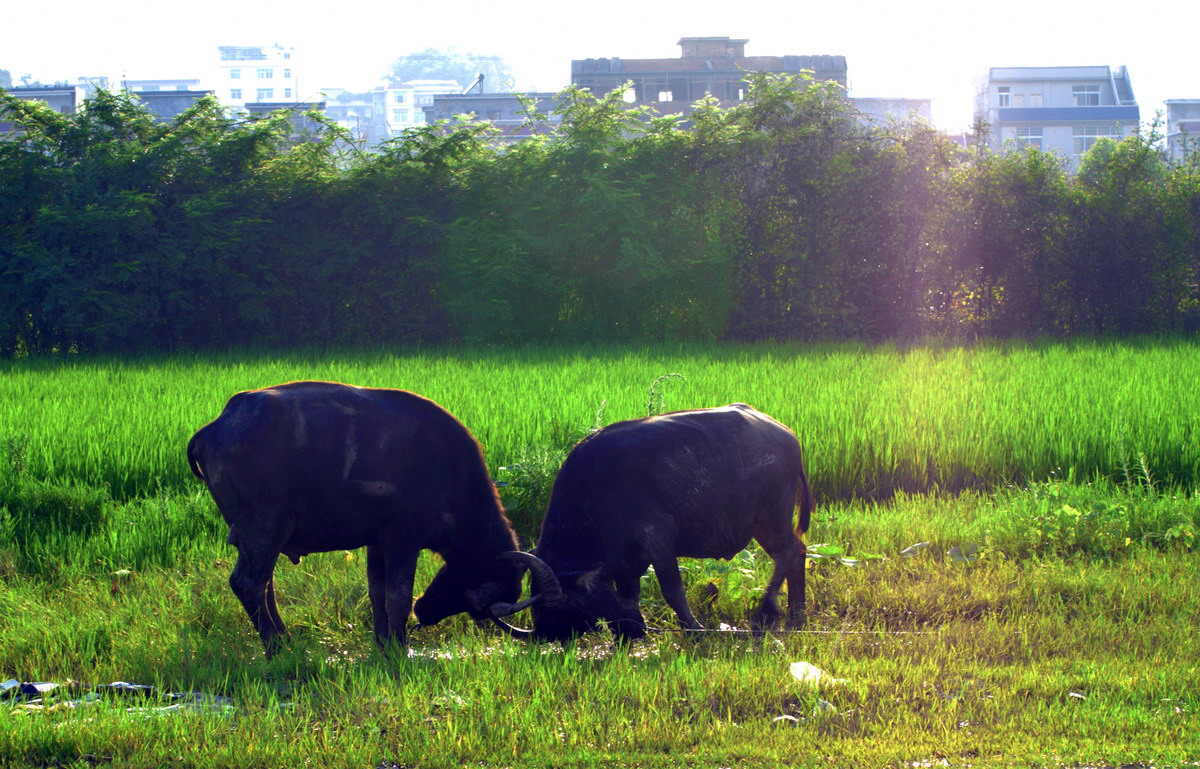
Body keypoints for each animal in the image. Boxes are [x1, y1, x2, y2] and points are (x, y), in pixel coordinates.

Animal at [187, 379, 525, 652]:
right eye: (481, 604)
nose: (426, 612)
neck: (450, 471)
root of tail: (218, 426)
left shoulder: (377, 543)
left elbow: (377, 593)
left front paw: (383, 643)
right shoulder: (404, 540)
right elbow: (398, 596)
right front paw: (399, 647)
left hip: (256, 535)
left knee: (265, 582)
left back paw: (285, 639)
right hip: (265, 527)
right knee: (248, 582)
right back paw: (275, 646)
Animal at [489, 403, 816, 643]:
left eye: (566, 610)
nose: (632, 628)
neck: (597, 490)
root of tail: (788, 435)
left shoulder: (657, 537)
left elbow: (672, 589)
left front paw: (695, 630)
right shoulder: (626, 560)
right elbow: (629, 595)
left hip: (773, 514)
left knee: (789, 552)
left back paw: (765, 614)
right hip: (763, 524)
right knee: (797, 551)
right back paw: (796, 613)